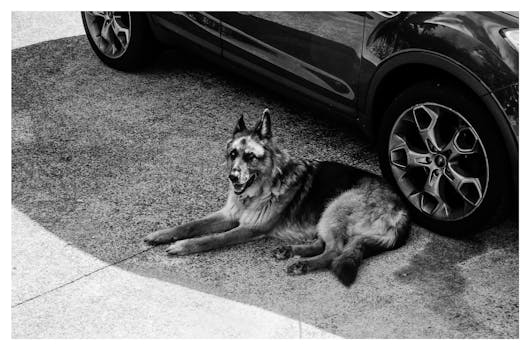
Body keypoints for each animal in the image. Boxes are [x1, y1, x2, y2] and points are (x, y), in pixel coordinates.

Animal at [145, 109, 412, 288]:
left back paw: (303, 264)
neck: (262, 189)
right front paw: (162, 234)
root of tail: (402, 209)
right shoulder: (227, 215)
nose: (233, 177)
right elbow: (191, 225)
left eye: (250, 157)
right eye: (233, 154)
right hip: (327, 215)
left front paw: (184, 246)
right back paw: (291, 250)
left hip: (335, 206)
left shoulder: (250, 228)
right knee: (325, 244)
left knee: (336, 250)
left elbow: (211, 239)